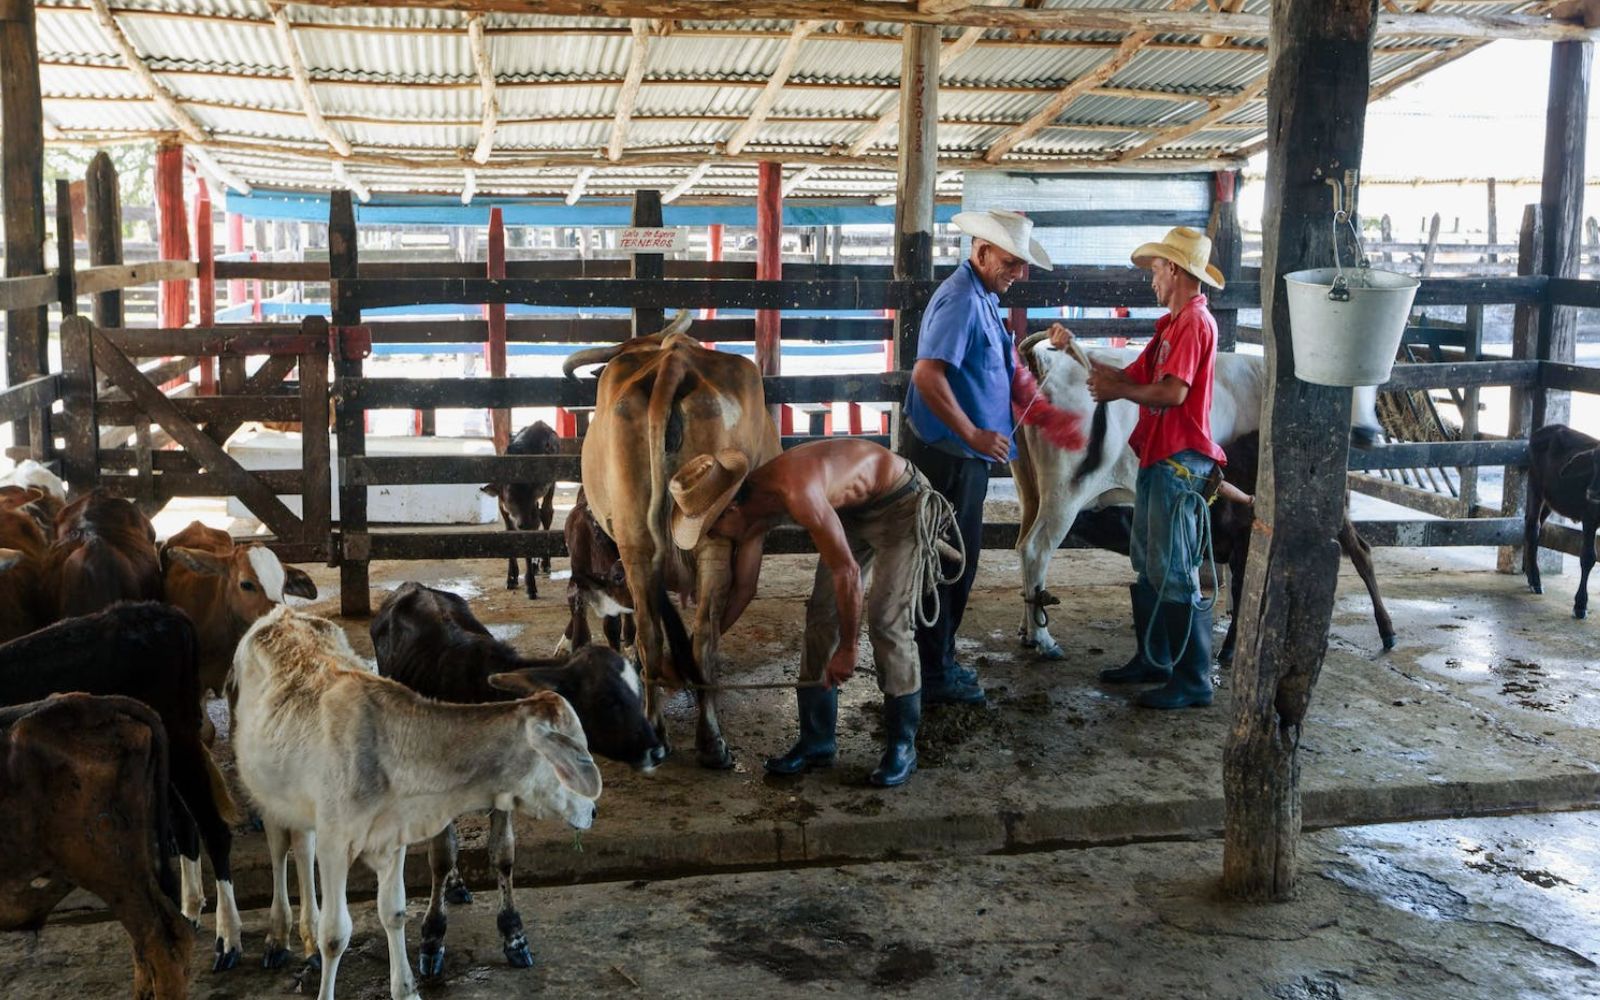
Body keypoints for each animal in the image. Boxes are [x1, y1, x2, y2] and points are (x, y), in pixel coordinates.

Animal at [227, 604, 601, 992]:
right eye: (576, 754)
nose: (593, 811)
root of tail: (282, 612)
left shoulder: (393, 839)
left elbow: (394, 912)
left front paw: (405, 988)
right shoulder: (335, 845)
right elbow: (336, 935)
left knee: (302, 847)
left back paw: (307, 937)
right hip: (266, 793)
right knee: (279, 850)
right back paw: (277, 938)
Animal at [566, 310, 777, 764]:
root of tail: (673, 362)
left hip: (635, 541)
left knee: (651, 632)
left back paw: (664, 730)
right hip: (714, 537)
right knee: (703, 637)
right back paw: (708, 736)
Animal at [1516, 422, 1593, 617]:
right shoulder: (1590, 516)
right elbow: (1588, 557)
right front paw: (1580, 605)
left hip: (1551, 498)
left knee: (1534, 525)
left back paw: (1530, 574)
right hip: (1535, 486)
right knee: (1532, 527)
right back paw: (1536, 581)